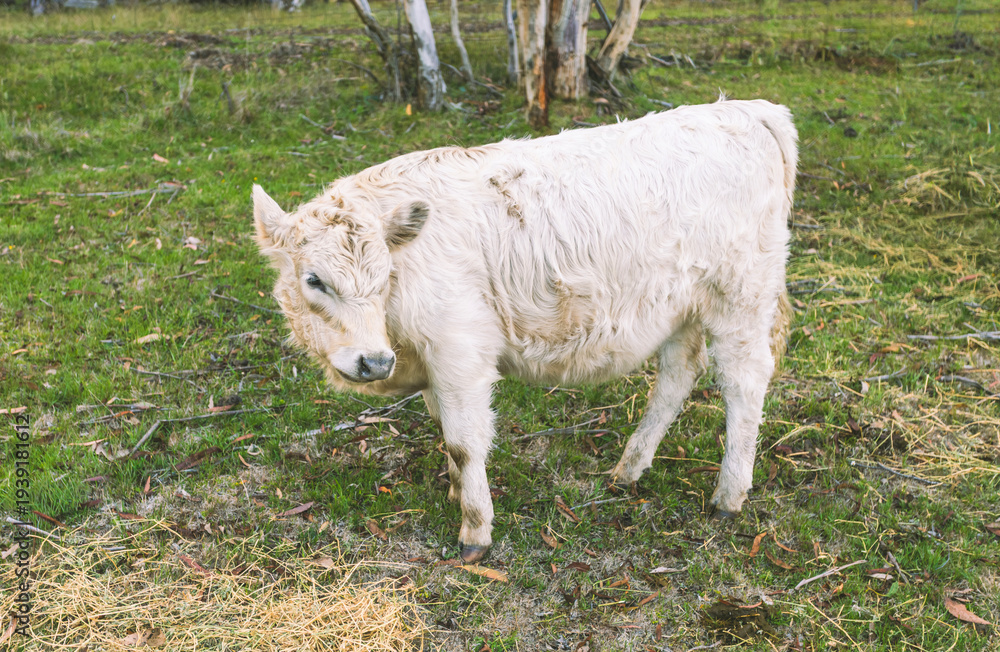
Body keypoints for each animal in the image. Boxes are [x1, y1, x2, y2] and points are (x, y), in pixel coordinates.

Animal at [252, 98, 797, 562]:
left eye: (384, 276)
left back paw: (728, 495)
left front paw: (475, 530)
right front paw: (456, 489)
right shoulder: (434, 364)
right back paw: (629, 470)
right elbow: (445, 428)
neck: (400, 342)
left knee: (744, 382)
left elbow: (463, 440)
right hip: (681, 307)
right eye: (313, 279)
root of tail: (746, 109)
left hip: (741, 297)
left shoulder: (460, 352)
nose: (374, 361)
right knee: (678, 375)